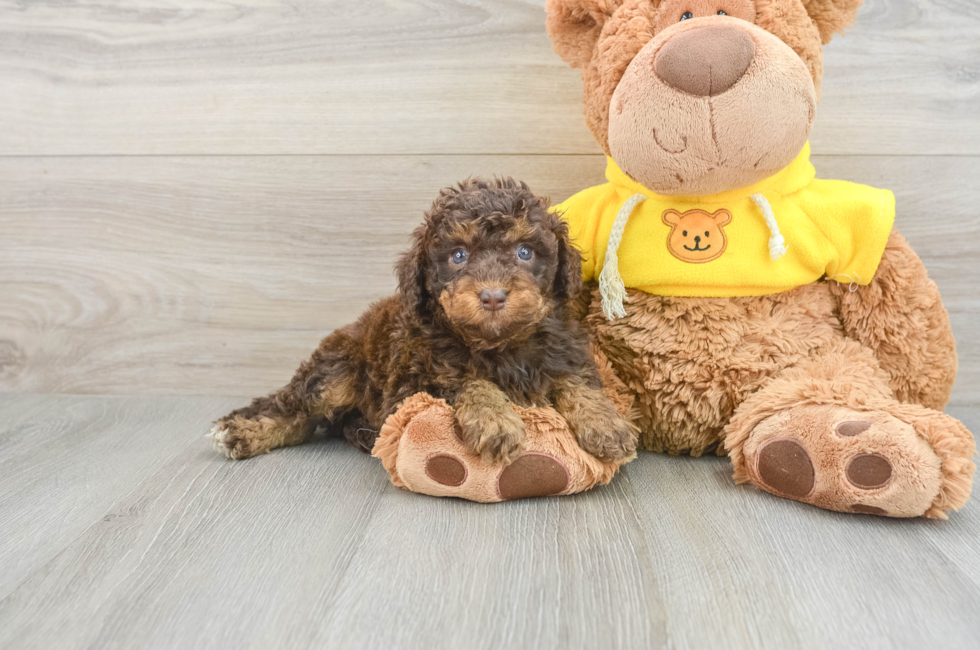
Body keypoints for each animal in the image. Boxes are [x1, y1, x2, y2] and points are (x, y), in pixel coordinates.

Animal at [210, 176, 636, 460]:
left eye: (525, 252)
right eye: (458, 256)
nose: (493, 296)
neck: (498, 345)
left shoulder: (564, 352)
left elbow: (578, 383)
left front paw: (608, 425)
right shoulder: (415, 381)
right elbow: (468, 382)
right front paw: (496, 421)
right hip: (337, 373)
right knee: (294, 412)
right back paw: (240, 433)